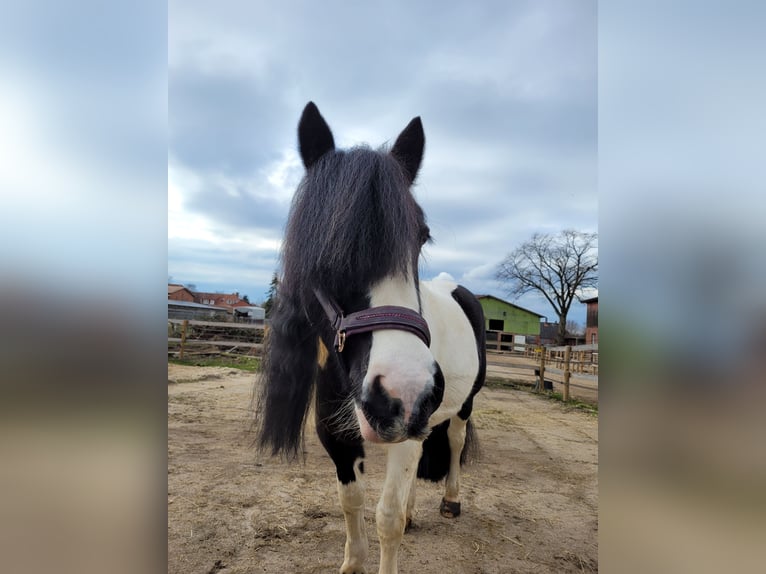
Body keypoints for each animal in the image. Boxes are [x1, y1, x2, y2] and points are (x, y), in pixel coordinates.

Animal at [258, 103, 486, 574]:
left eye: (421, 236)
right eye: (323, 241)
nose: (404, 393)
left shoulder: (409, 430)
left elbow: (387, 518)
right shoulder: (336, 435)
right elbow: (352, 500)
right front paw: (353, 562)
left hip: (461, 406)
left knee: (455, 443)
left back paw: (451, 501)